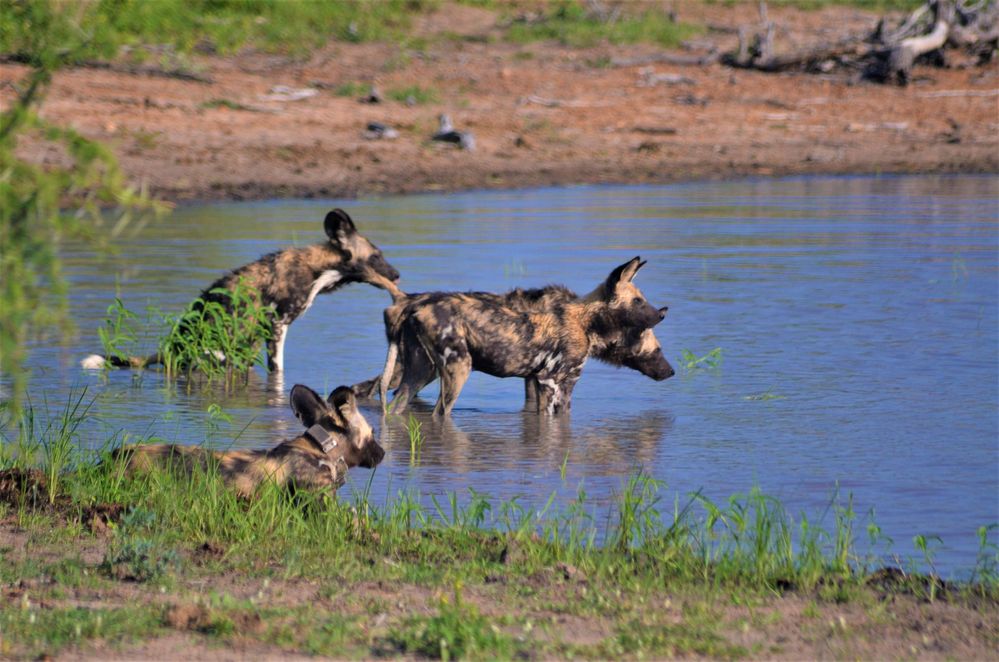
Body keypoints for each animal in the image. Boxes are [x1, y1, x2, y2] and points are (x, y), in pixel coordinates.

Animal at [82, 209, 400, 374]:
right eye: (376, 256)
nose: (397, 274)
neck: (319, 270)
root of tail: (170, 348)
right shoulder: (277, 326)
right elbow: (278, 369)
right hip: (217, 354)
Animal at [368, 258, 672, 418]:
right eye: (637, 301)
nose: (661, 314)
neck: (586, 322)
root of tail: (413, 304)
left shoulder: (546, 383)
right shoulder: (551, 381)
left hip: (419, 373)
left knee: (395, 408)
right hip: (456, 371)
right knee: (439, 414)